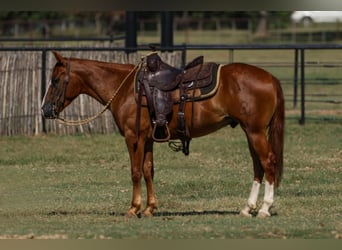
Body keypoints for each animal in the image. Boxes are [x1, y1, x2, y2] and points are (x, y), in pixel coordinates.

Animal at [41, 51, 284, 218]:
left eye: (55, 80)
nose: (45, 110)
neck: (126, 89)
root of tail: (271, 78)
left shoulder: (134, 137)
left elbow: (135, 171)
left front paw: (134, 208)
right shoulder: (148, 139)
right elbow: (149, 171)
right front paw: (150, 208)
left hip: (255, 132)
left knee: (268, 162)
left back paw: (265, 208)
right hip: (250, 131)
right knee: (257, 165)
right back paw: (247, 208)